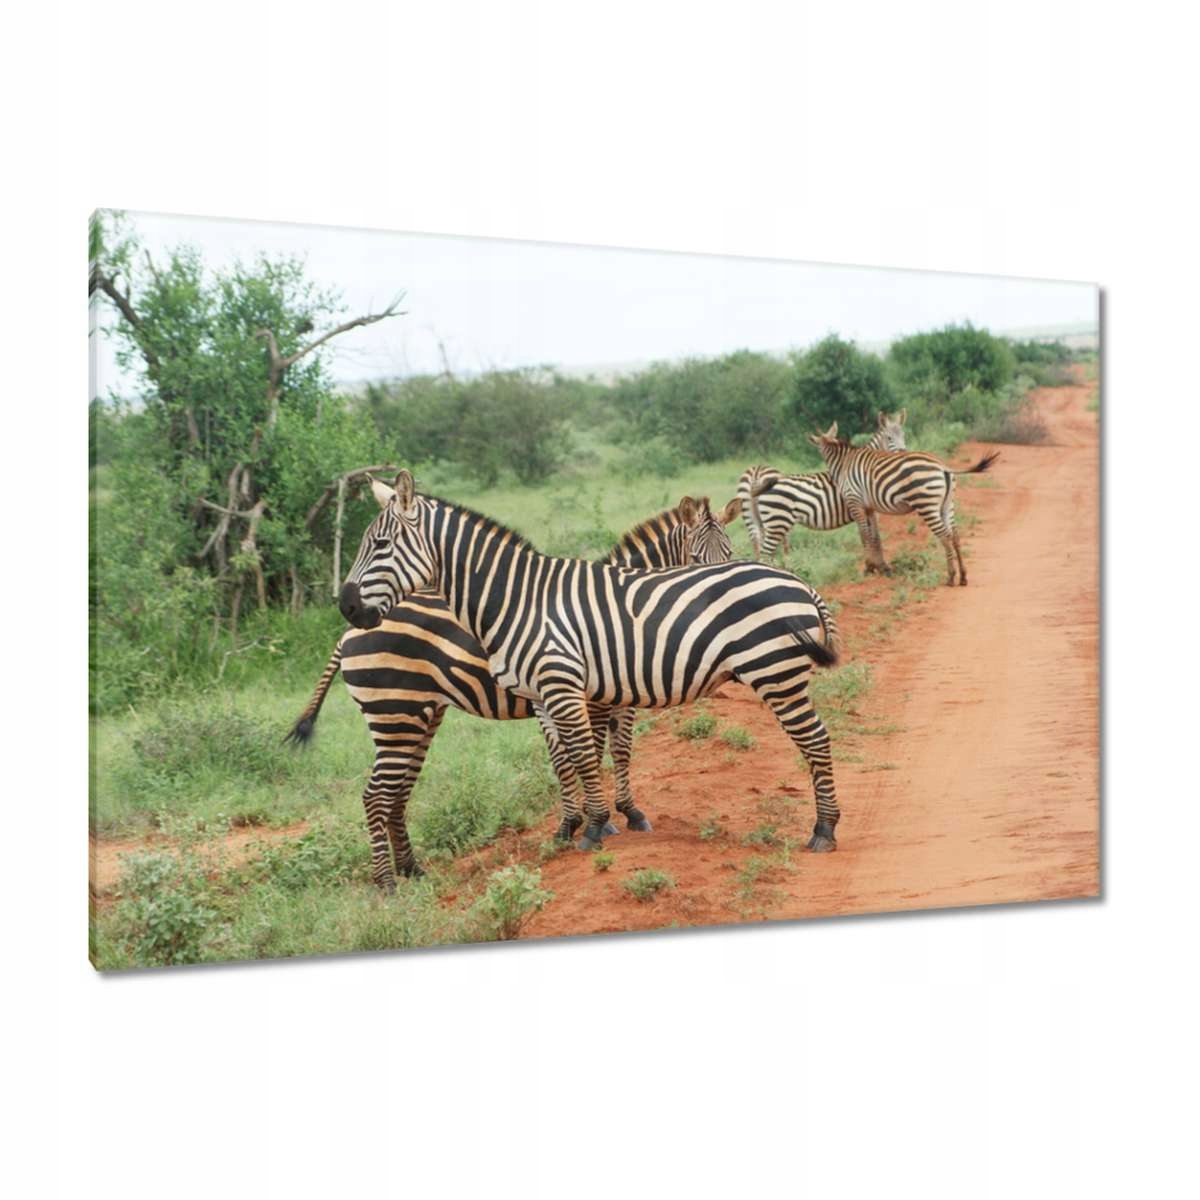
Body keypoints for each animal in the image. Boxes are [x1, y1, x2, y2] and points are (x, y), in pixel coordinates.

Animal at [288, 496, 739, 891]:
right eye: (696, 559)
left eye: (731, 553)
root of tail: (348, 632)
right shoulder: (591, 697)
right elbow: (590, 754)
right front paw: (601, 820)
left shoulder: (607, 696)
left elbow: (612, 752)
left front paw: (616, 815)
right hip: (393, 711)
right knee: (377, 795)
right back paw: (387, 883)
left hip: (419, 717)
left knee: (397, 793)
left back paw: (412, 871)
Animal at [738, 410, 909, 563]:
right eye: (889, 438)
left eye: (904, 436)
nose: (903, 454)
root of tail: (756, 477)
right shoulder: (866, 506)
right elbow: (872, 536)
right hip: (777, 522)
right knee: (767, 552)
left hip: (756, 521)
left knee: (759, 547)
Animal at [808, 421, 1000, 586]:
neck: (844, 462)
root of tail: (942, 467)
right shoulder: (869, 507)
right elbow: (874, 535)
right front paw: (878, 567)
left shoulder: (855, 502)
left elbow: (864, 535)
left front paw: (868, 568)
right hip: (947, 505)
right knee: (955, 536)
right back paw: (963, 577)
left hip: (927, 505)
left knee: (945, 536)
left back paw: (951, 577)